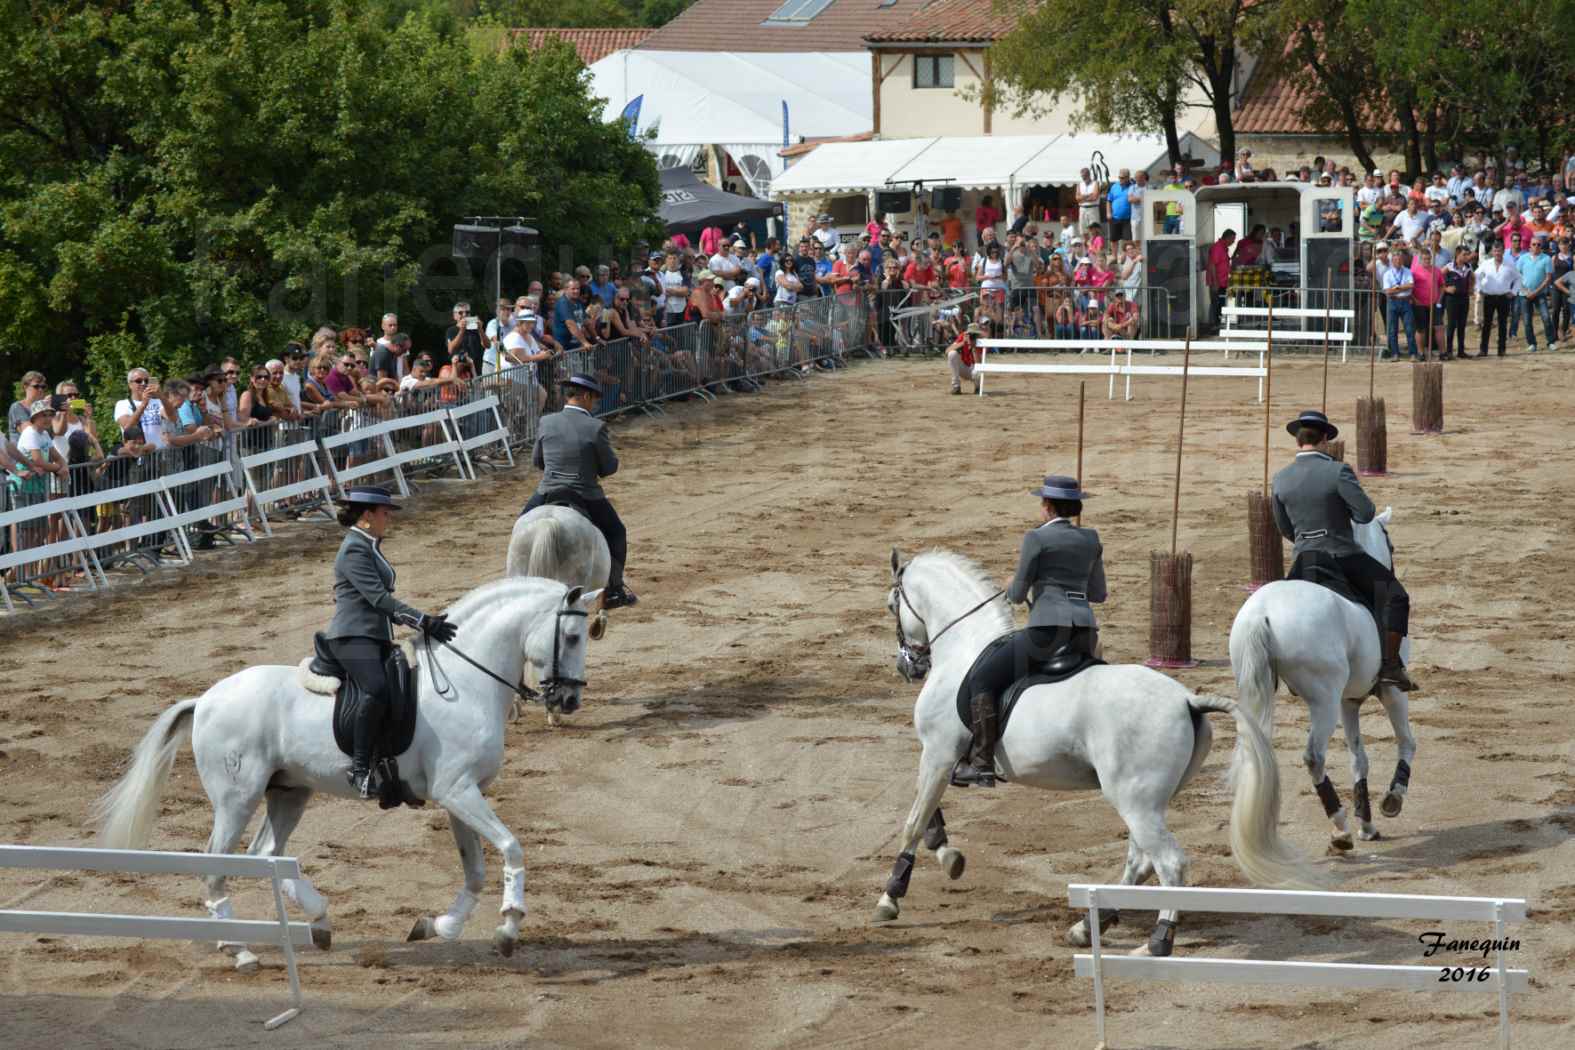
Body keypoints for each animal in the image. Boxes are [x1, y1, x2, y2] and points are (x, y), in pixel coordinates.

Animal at [93, 576, 595, 969]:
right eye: (572, 636)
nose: (569, 700)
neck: (465, 682)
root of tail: (205, 700)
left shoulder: (461, 795)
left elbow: (474, 871)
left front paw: (436, 926)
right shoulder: (457, 792)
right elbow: (511, 847)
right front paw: (509, 928)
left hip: (289, 792)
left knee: (266, 852)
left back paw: (319, 923)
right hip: (238, 798)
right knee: (219, 863)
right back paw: (239, 950)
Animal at [882, 554, 1323, 957]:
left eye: (891, 605)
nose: (908, 667)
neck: (962, 647)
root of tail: (1187, 700)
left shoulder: (938, 753)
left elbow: (913, 821)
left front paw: (891, 897)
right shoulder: (939, 756)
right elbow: (927, 814)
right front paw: (948, 855)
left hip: (1133, 800)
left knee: (1168, 863)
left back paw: (1158, 940)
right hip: (1147, 801)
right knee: (1141, 862)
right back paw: (1088, 926)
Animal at [1228, 506, 1417, 856]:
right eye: (1391, 544)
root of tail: (1262, 613)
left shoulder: (1349, 700)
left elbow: (1359, 759)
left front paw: (1367, 824)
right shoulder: (1391, 691)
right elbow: (1407, 741)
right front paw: (1392, 799)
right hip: (1323, 701)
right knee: (1314, 757)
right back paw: (1340, 829)